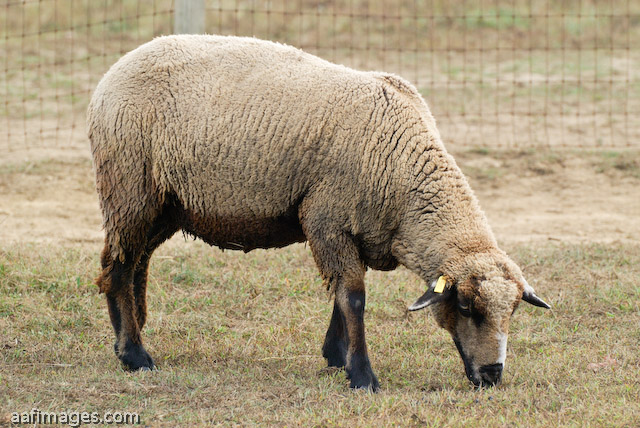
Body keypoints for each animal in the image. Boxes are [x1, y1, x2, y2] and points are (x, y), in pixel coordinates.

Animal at [89, 35, 552, 392]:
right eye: (468, 308)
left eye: (513, 312)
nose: (492, 376)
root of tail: (115, 70)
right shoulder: (328, 219)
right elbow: (354, 298)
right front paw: (362, 376)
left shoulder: (353, 230)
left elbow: (343, 296)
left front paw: (337, 355)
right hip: (128, 188)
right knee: (117, 267)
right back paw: (134, 355)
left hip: (165, 205)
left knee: (136, 263)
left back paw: (129, 335)